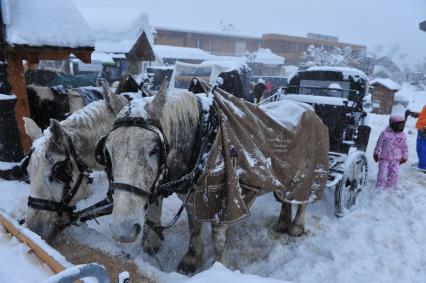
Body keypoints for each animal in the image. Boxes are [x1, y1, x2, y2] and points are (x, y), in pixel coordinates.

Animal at [103, 84, 322, 276]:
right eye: (108, 151)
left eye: (154, 149)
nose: (123, 230)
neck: (205, 139)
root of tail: (307, 107)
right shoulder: (190, 196)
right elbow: (195, 228)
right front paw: (191, 259)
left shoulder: (225, 198)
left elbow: (218, 238)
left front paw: (218, 268)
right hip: (284, 176)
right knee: (286, 198)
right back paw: (282, 223)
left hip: (309, 174)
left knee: (304, 199)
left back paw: (296, 227)